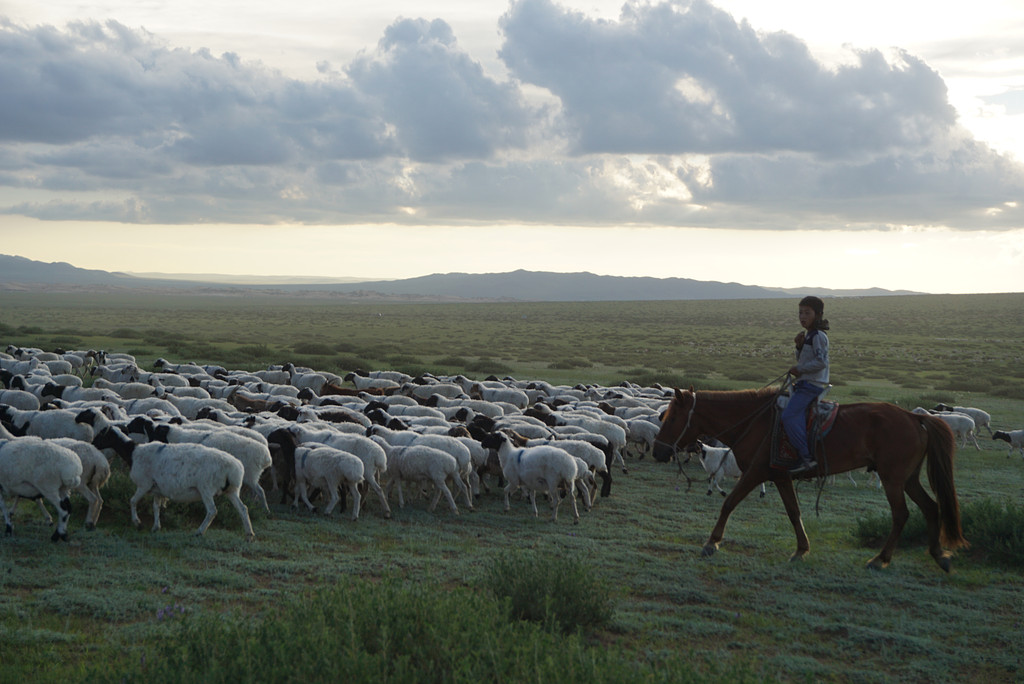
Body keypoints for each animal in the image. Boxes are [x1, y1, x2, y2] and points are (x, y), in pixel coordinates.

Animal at [655, 385, 966, 573]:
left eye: (672, 419)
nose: (659, 450)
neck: (754, 422)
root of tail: (915, 419)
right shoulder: (780, 476)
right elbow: (794, 512)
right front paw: (801, 550)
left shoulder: (756, 472)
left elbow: (729, 503)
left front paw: (711, 543)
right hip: (908, 478)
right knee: (931, 507)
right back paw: (939, 555)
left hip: (892, 479)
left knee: (901, 514)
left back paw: (880, 560)